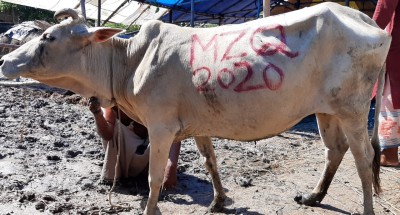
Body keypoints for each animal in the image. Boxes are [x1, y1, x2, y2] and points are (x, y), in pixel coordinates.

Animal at [0, 2, 390, 215]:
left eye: (49, 37)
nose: (4, 60)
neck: (127, 61)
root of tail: (371, 23)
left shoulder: (160, 126)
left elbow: (155, 177)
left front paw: (150, 209)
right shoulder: (198, 122)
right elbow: (210, 160)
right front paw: (219, 201)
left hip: (353, 108)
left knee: (363, 158)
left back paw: (366, 208)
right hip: (327, 109)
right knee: (335, 150)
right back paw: (313, 196)